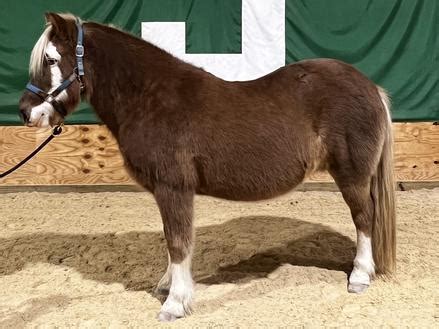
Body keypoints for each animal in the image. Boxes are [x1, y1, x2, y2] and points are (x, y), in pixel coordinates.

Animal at [18, 12, 396, 320]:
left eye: (51, 59)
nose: (25, 112)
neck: (149, 98)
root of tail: (371, 86)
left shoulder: (173, 187)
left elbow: (178, 242)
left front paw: (175, 304)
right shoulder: (167, 191)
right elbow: (173, 240)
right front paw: (167, 286)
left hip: (352, 175)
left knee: (364, 218)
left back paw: (360, 276)